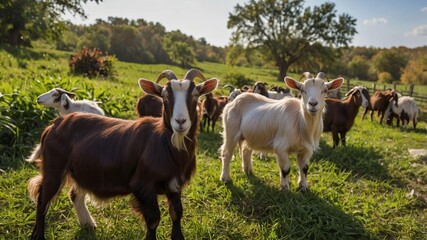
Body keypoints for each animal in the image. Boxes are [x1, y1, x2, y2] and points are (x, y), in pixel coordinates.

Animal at [26, 68, 219, 239]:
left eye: (195, 95)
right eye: (164, 96)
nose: (180, 121)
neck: (164, 144)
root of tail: (54, 125)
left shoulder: (175, 185)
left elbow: (176, 214)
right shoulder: (142, 186)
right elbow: (153, 220)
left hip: (79, 170)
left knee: (73, 194)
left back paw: (88, 223)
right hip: (54, 168)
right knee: (43, 201)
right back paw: (38, 235)